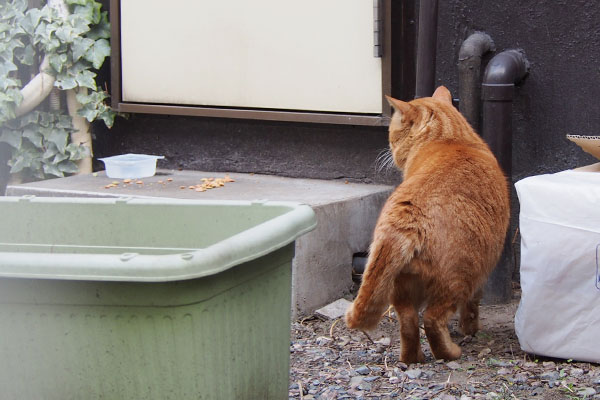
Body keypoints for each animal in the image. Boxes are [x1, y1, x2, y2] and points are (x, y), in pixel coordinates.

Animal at [344, 86, 508, 362]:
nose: (389, 147)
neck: (452, 139)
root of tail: (405, 220)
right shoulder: (482, 273)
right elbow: (472, 307)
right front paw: (470, 329)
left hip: (400, 286)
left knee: (409, 322)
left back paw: (413, 359)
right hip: (457, 278)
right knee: (432, 320)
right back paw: (450, 353)